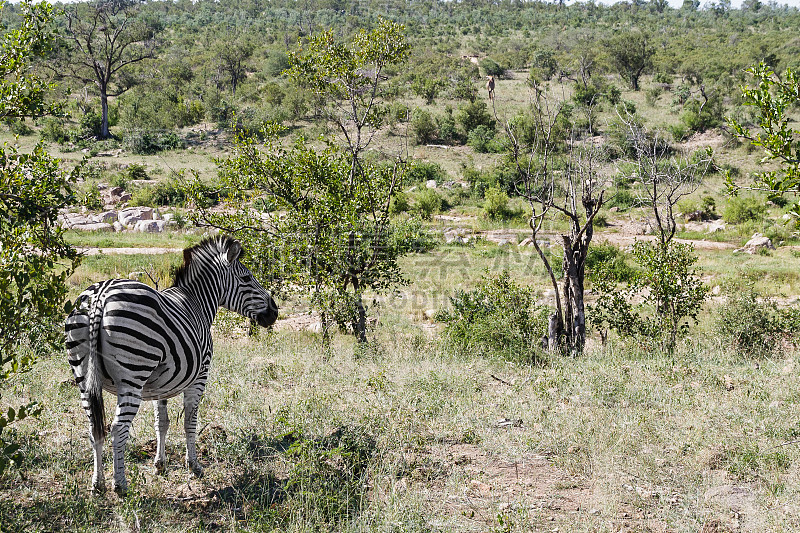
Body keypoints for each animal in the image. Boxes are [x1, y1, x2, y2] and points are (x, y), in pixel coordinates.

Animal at [65, 235, 278, 492]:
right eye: (246, 278)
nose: (275, 312)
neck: (197, 302)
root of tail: (100, 295)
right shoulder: (200, 375)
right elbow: (190, 421)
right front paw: (194, 466)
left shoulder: (160, 383)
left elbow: (162, 422)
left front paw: (160, 465)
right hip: (132, 376)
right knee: (117, 430)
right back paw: (121, 485)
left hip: (83, 378)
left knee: (94, 428)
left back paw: (98, 485)